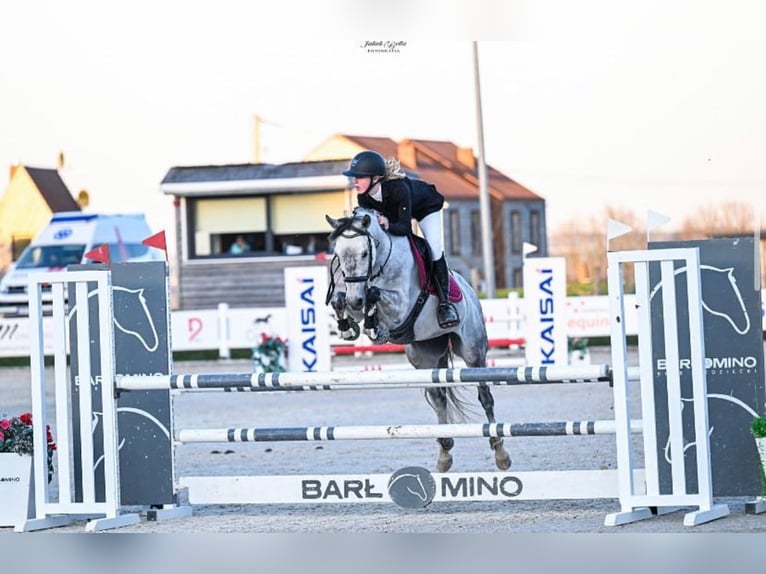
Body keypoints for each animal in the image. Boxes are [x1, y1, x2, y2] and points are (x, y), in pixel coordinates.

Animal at [328, 207, 512, 472]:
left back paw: (500, 452)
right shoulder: (353, 298)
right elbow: (339, 300)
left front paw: (374, 325)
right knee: (439, 397)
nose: (355, 301)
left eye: (364, 253)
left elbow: (375, 294)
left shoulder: (400, 306)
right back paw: (444, 452)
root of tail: (469, 290)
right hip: (424, 356)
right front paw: (348, 327)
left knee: (485, 395)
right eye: (338, 254)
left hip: (473, 351)